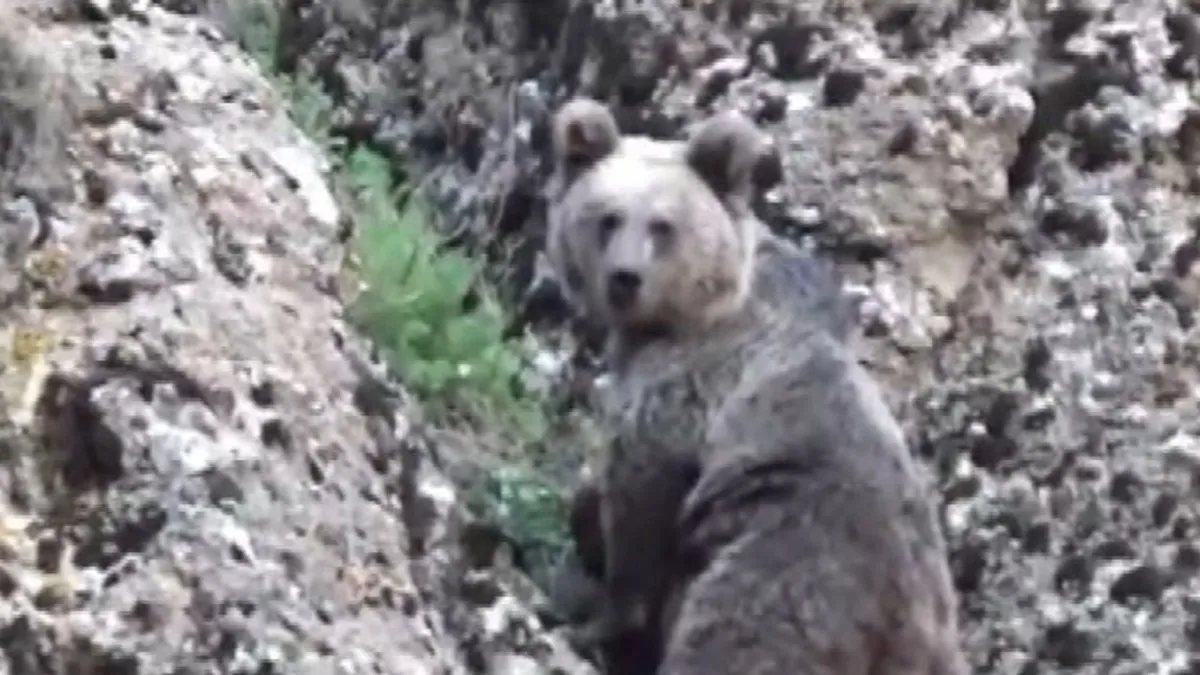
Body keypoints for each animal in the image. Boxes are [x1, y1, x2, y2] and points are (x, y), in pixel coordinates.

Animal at [542, 97, 964, 672]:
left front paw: (597, 620)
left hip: (790, 564)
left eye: (662, 225)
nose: (624, 278)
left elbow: (640, 495)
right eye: (608, 218)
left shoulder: (686, 389)